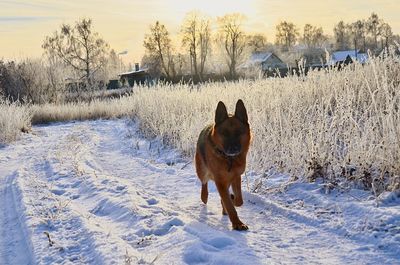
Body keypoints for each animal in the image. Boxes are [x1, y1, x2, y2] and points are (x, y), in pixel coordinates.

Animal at [195, 99, 252, 229]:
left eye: (239, 132)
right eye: (225, 133)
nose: (233, 149)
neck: (229, 159)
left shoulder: (236, 176)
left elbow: (239, 201)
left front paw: (232, 199)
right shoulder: (220, 181)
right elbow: (230, 205)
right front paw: (237, 224)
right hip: (202, 170)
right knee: (204, 183)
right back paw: (204, 196)